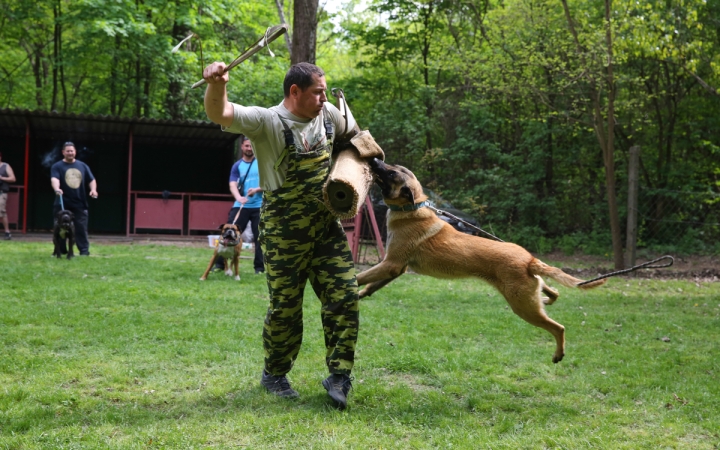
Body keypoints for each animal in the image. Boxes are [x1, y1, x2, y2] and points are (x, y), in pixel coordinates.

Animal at [358, 160, 604, 364]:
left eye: (391, 172)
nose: (375, 159)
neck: (410, 209)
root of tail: (529, 260)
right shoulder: (396, 268)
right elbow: (370, 286)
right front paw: (360, 295)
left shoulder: (390, 264)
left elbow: (361, 277)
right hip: (530, 293)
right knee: (553, 292)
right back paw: (547, 299)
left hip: (523, 307)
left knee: (558, 328)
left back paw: (558, 354)